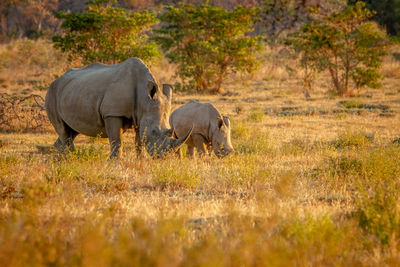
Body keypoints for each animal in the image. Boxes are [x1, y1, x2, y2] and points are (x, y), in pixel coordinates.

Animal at [45, 58, 192, 159]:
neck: (144, 99)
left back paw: (63, 158)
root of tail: (56, 80)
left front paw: (141, 159)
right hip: (52, 93)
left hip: (73, 92)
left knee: (72, 130)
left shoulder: (141, 115)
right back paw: (71, 158)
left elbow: (139, 141)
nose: (163, 157)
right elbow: (116, 140)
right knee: (63, 129)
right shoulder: (112, 113)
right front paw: (115, 162)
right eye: (154, 132)